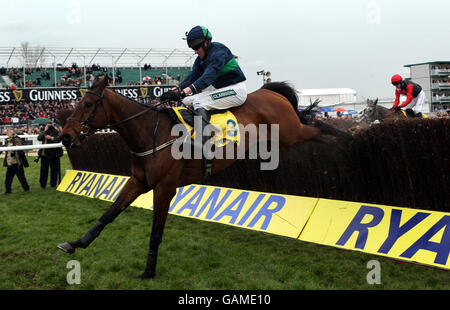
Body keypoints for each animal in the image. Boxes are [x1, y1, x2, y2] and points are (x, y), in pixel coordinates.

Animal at [57, 77, 352, 278]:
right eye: (75, 103)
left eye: (88, 104)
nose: (66, 136)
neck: (151, 132)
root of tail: (268, 91)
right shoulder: (138, 182)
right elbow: (108, 214)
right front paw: (75, 243)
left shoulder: (164, 188)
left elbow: (155, 233)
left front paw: (148, 271)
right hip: (282, 138)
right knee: (313, 126)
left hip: (291, 132)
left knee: (318, 125)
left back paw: (347, 136)